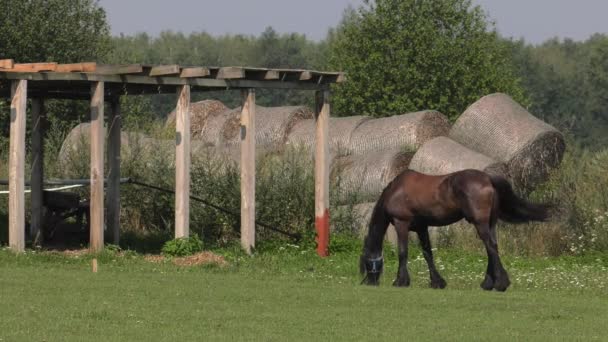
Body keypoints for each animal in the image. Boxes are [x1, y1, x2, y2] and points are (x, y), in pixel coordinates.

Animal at [358, 168, 552, 292]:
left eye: (367, 263)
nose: (368, 282)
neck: (397, 190)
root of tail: (488, 179)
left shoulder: (401, 224)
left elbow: (403, 252)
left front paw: (400, 281)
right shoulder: (422, 227)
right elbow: (428, 253)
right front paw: (437, 282)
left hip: (480, 223)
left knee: (490, 247)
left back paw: (499, 283)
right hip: (490, 223)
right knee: (492, 247)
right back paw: (488, 284)